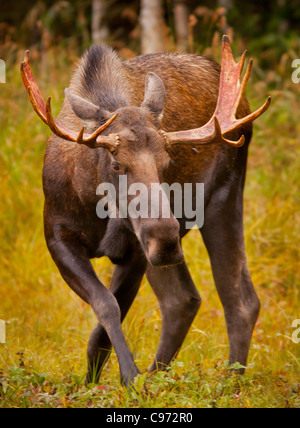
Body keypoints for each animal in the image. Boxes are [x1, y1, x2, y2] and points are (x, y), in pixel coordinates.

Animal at [21, 37, 270, 388]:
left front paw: (127, 378)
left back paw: (227, 383)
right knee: (184, 299)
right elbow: (105, 305)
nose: (164, 242)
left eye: (167, 162)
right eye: (116, 164)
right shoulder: (57, 236)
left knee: (237, 298)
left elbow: (106, 321)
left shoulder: (136, 252)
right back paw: (162, 376)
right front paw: (102, 380)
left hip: (222, 198)